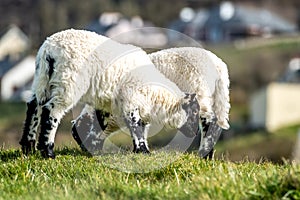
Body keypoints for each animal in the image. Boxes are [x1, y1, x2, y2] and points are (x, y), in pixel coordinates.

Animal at [19, 28, 199, 159]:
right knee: (52, 110)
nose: (196, 132)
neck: (155, 95)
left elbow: (101, 125)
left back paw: (28, 147)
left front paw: (92, 148)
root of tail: (49, 50)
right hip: (68, 82)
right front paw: (143, 151)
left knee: (34, 106)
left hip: (42, 78)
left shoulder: (107, 104)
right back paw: (47, 151)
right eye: (194, 112)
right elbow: (136, 126)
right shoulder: (130, 102)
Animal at [72, 47, 230, 156]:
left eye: (80, 134)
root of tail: (219, 66)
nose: (89, 153)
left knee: (211, 122)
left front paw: (140, 151)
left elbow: (136, 129)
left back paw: (204, 155)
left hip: (200, 94)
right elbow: (141, 128)